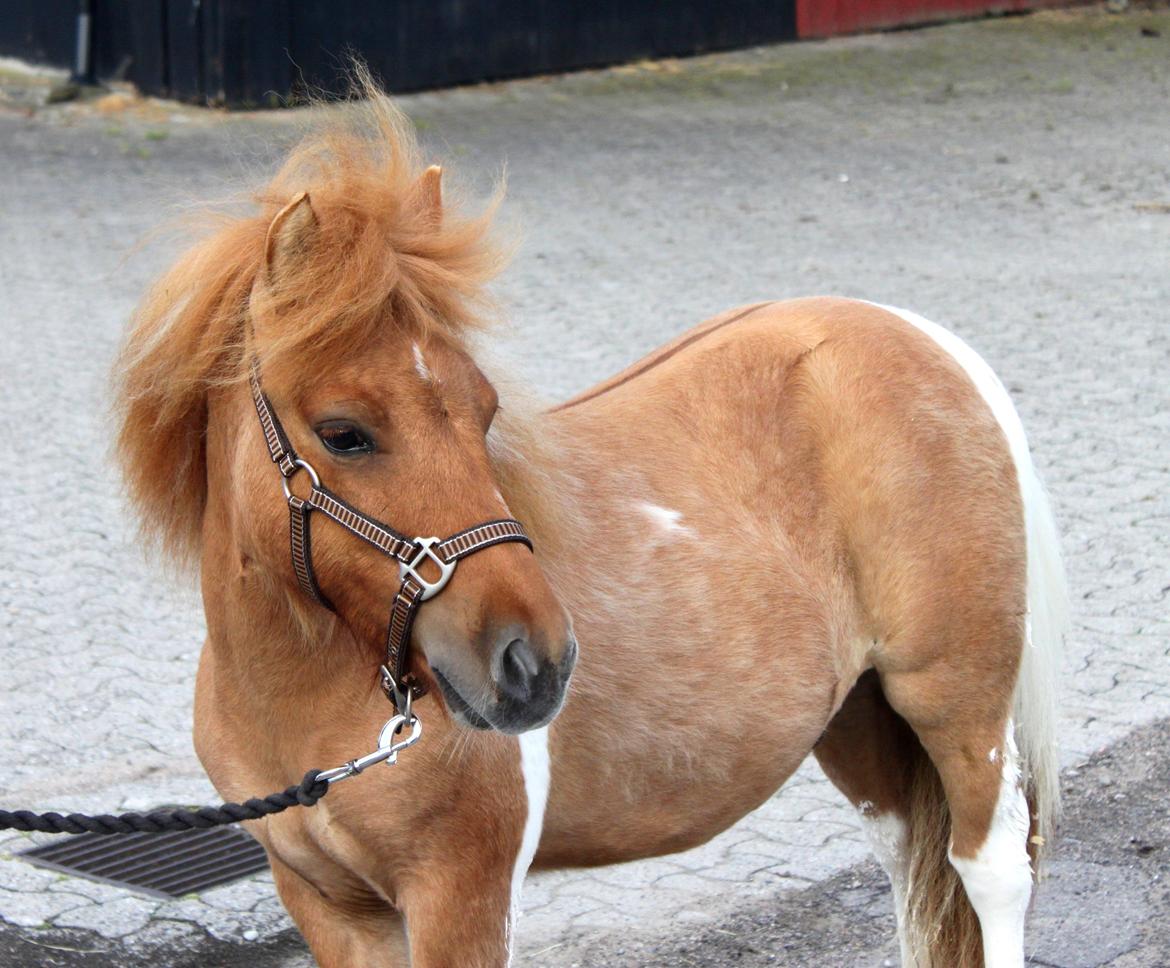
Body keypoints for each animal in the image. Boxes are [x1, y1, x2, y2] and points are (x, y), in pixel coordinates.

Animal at [114, 85, 1067, 968]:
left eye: (484, 409)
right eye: (345, 432)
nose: (534, 662)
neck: (304, 700)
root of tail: (927, 340)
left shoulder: (463, 895)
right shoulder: (326, 905)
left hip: (955, 703)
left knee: (989, 871)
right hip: (861, 723)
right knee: (912, 867)